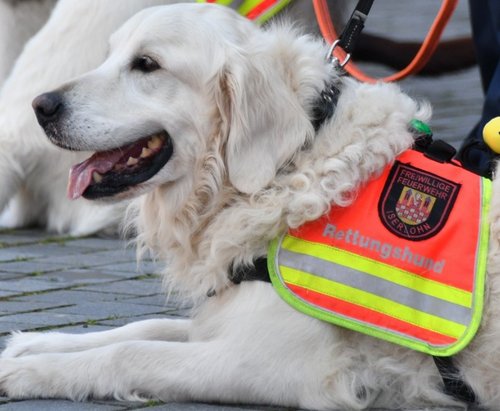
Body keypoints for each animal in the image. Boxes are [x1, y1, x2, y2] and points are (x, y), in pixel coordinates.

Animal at [4, 4, 500, 410]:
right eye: (108, 55)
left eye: (146, 64)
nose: (41, 105)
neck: (289, 167)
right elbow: (140, 329)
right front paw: (33, 346)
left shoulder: (278, 366)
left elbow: (131, 352)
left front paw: (30, 371)